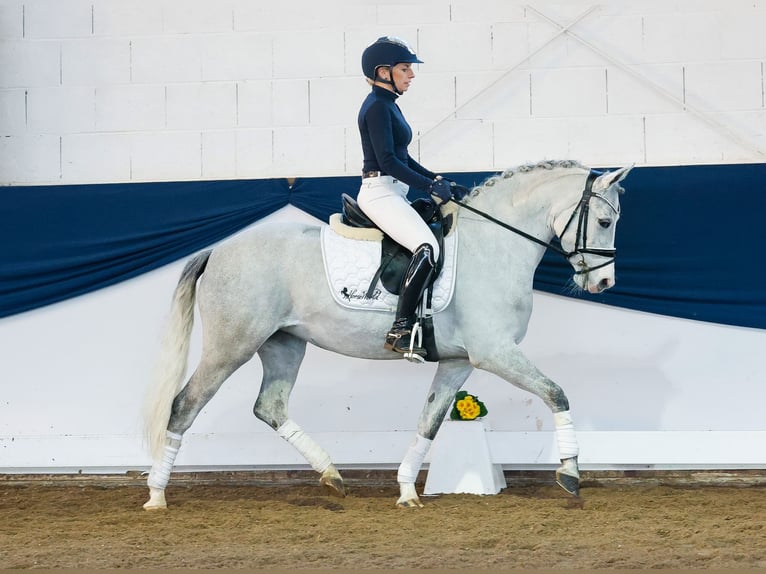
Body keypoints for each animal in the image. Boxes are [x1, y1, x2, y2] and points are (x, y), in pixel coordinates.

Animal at [142, 160, 632, 510]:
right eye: (605, 223)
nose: (603, 284)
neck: (493, 246)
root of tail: (218, 249)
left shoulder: (458, 361)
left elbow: (429, 420)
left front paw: (407, 491)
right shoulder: (494, 353)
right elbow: (556, 393)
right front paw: (570, 473)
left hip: (284, 344)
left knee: (270, 407)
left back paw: (332, 475)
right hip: (232, 346)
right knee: (184, 406)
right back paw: (157, 496)